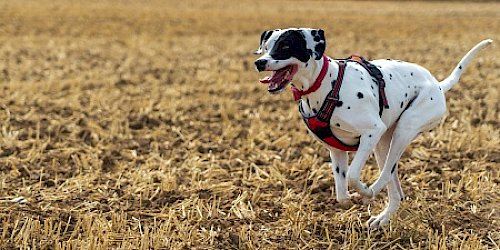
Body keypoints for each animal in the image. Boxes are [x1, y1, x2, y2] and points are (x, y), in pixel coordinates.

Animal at [254, 27, 492, 229]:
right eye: (266, 47)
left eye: (285, 46)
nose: (259, 62)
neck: (327, 86)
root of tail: (438, 85)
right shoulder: (336, 150)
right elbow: (341, 194)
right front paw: (349, 201)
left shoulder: (372, 132)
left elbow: (352, 175)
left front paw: (364, 193)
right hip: (383, 143)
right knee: (395, 188)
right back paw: (383, 218)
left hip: (402, 131)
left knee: (387, 171)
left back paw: (372, 193)